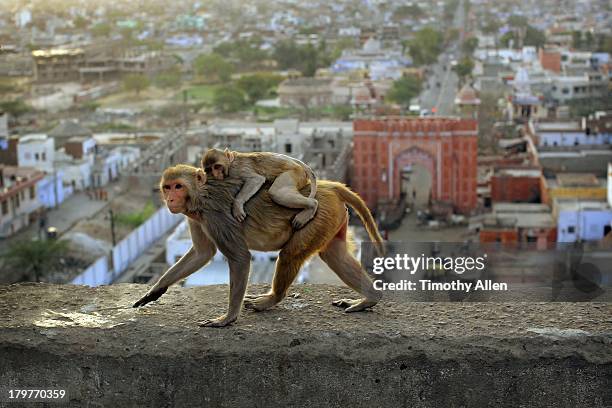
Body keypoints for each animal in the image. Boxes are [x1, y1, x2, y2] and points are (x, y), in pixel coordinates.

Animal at [133, 164, 382, 326]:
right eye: (167, 187)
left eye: (178, 186)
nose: (170, 199)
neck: (201, 195)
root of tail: (329, 186)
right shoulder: (196, 217)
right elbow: (202, 253)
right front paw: (156, 289)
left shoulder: (214, 216)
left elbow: (240, 257)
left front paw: (228, 318)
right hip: (331, 219)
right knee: (334, 255)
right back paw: (370, 298)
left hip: (317, 217)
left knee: (291, 254)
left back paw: (271, 299)